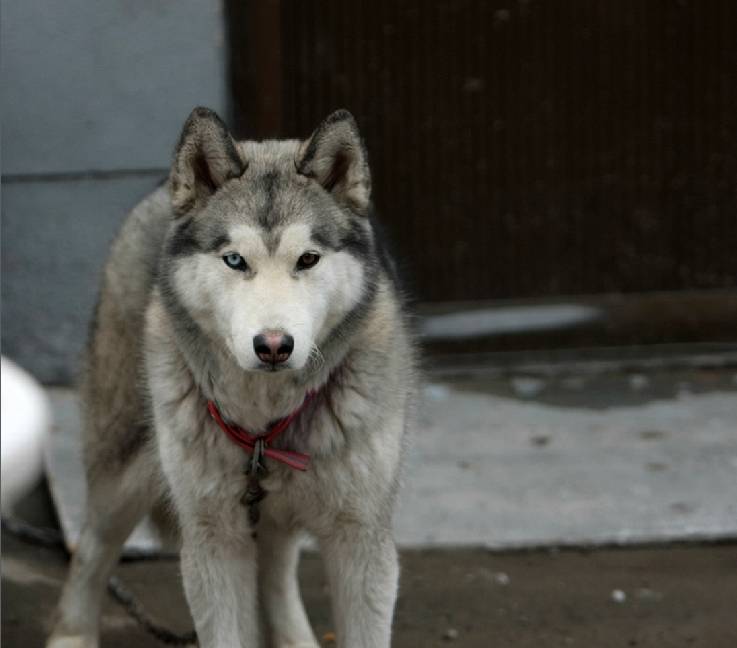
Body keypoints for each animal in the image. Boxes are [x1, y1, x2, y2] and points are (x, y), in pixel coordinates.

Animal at [47, 107, 414, 648]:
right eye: (235, 260)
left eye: (308, 258)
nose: (274, 345)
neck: (265, 425)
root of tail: (157, 193)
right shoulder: (213, 540)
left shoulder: (361, 541)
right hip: (125, 471)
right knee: (90, 548)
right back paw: (71, 634)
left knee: (275, 572)